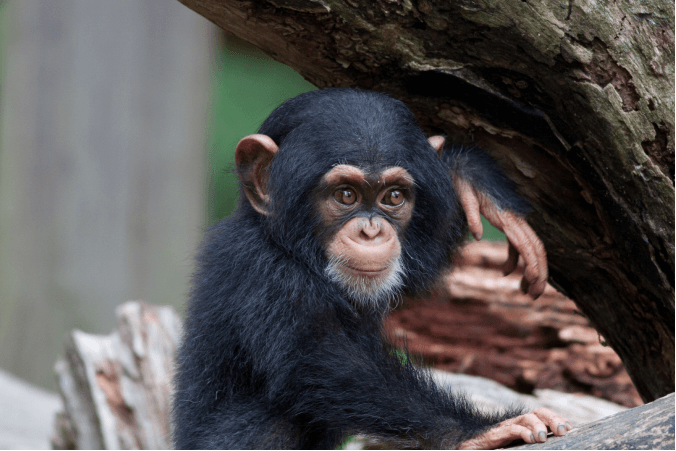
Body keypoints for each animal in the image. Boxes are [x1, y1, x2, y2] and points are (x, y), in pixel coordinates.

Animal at [176, 89, 572, 451]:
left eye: (393, 196)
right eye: (345, 195)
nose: (371, 232)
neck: (291, 249)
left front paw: (471, 181)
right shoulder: (262, 273)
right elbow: (323, 362)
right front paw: (481, 430)